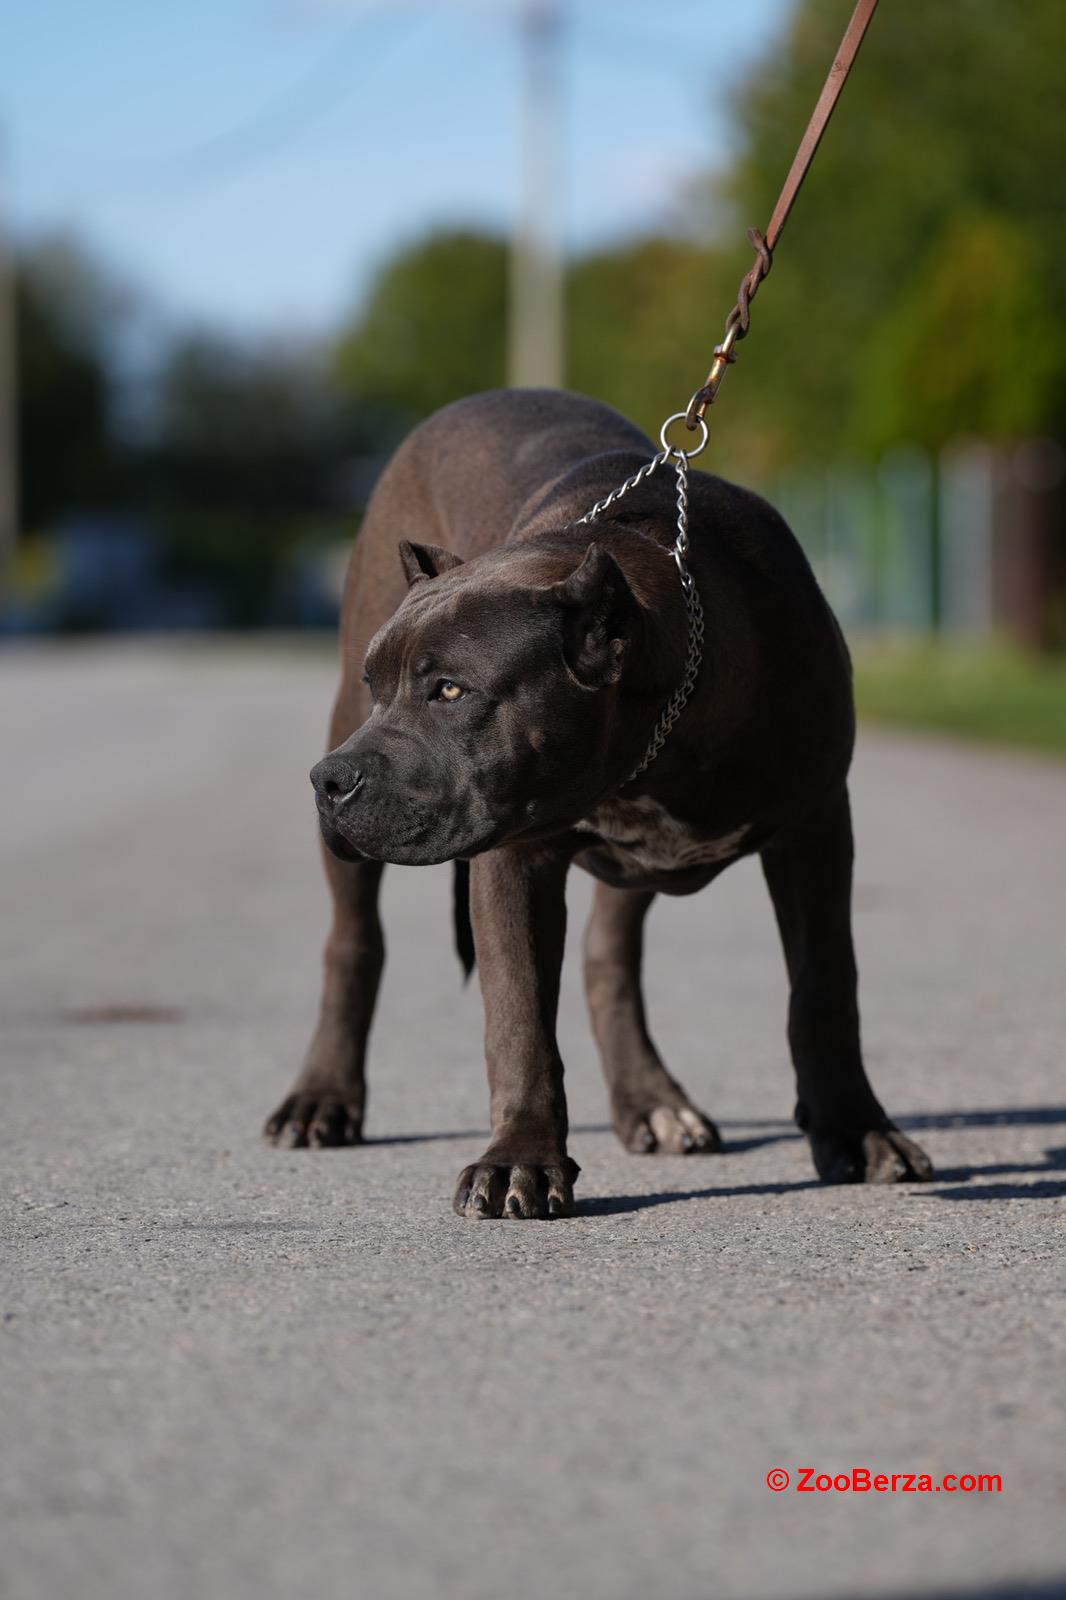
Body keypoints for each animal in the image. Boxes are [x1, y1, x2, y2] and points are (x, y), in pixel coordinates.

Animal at [265, 387, 928, 1209]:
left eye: (450, 690)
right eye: (376, 687)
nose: (330, 780)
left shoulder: (816, 828)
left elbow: (825, 990)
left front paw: (856, 1132)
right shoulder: (513, 856)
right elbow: (518, 1016)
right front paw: (519, 1157)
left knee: (608, 954)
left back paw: (652, 1100)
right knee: (354, 943)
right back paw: (321, 1099)